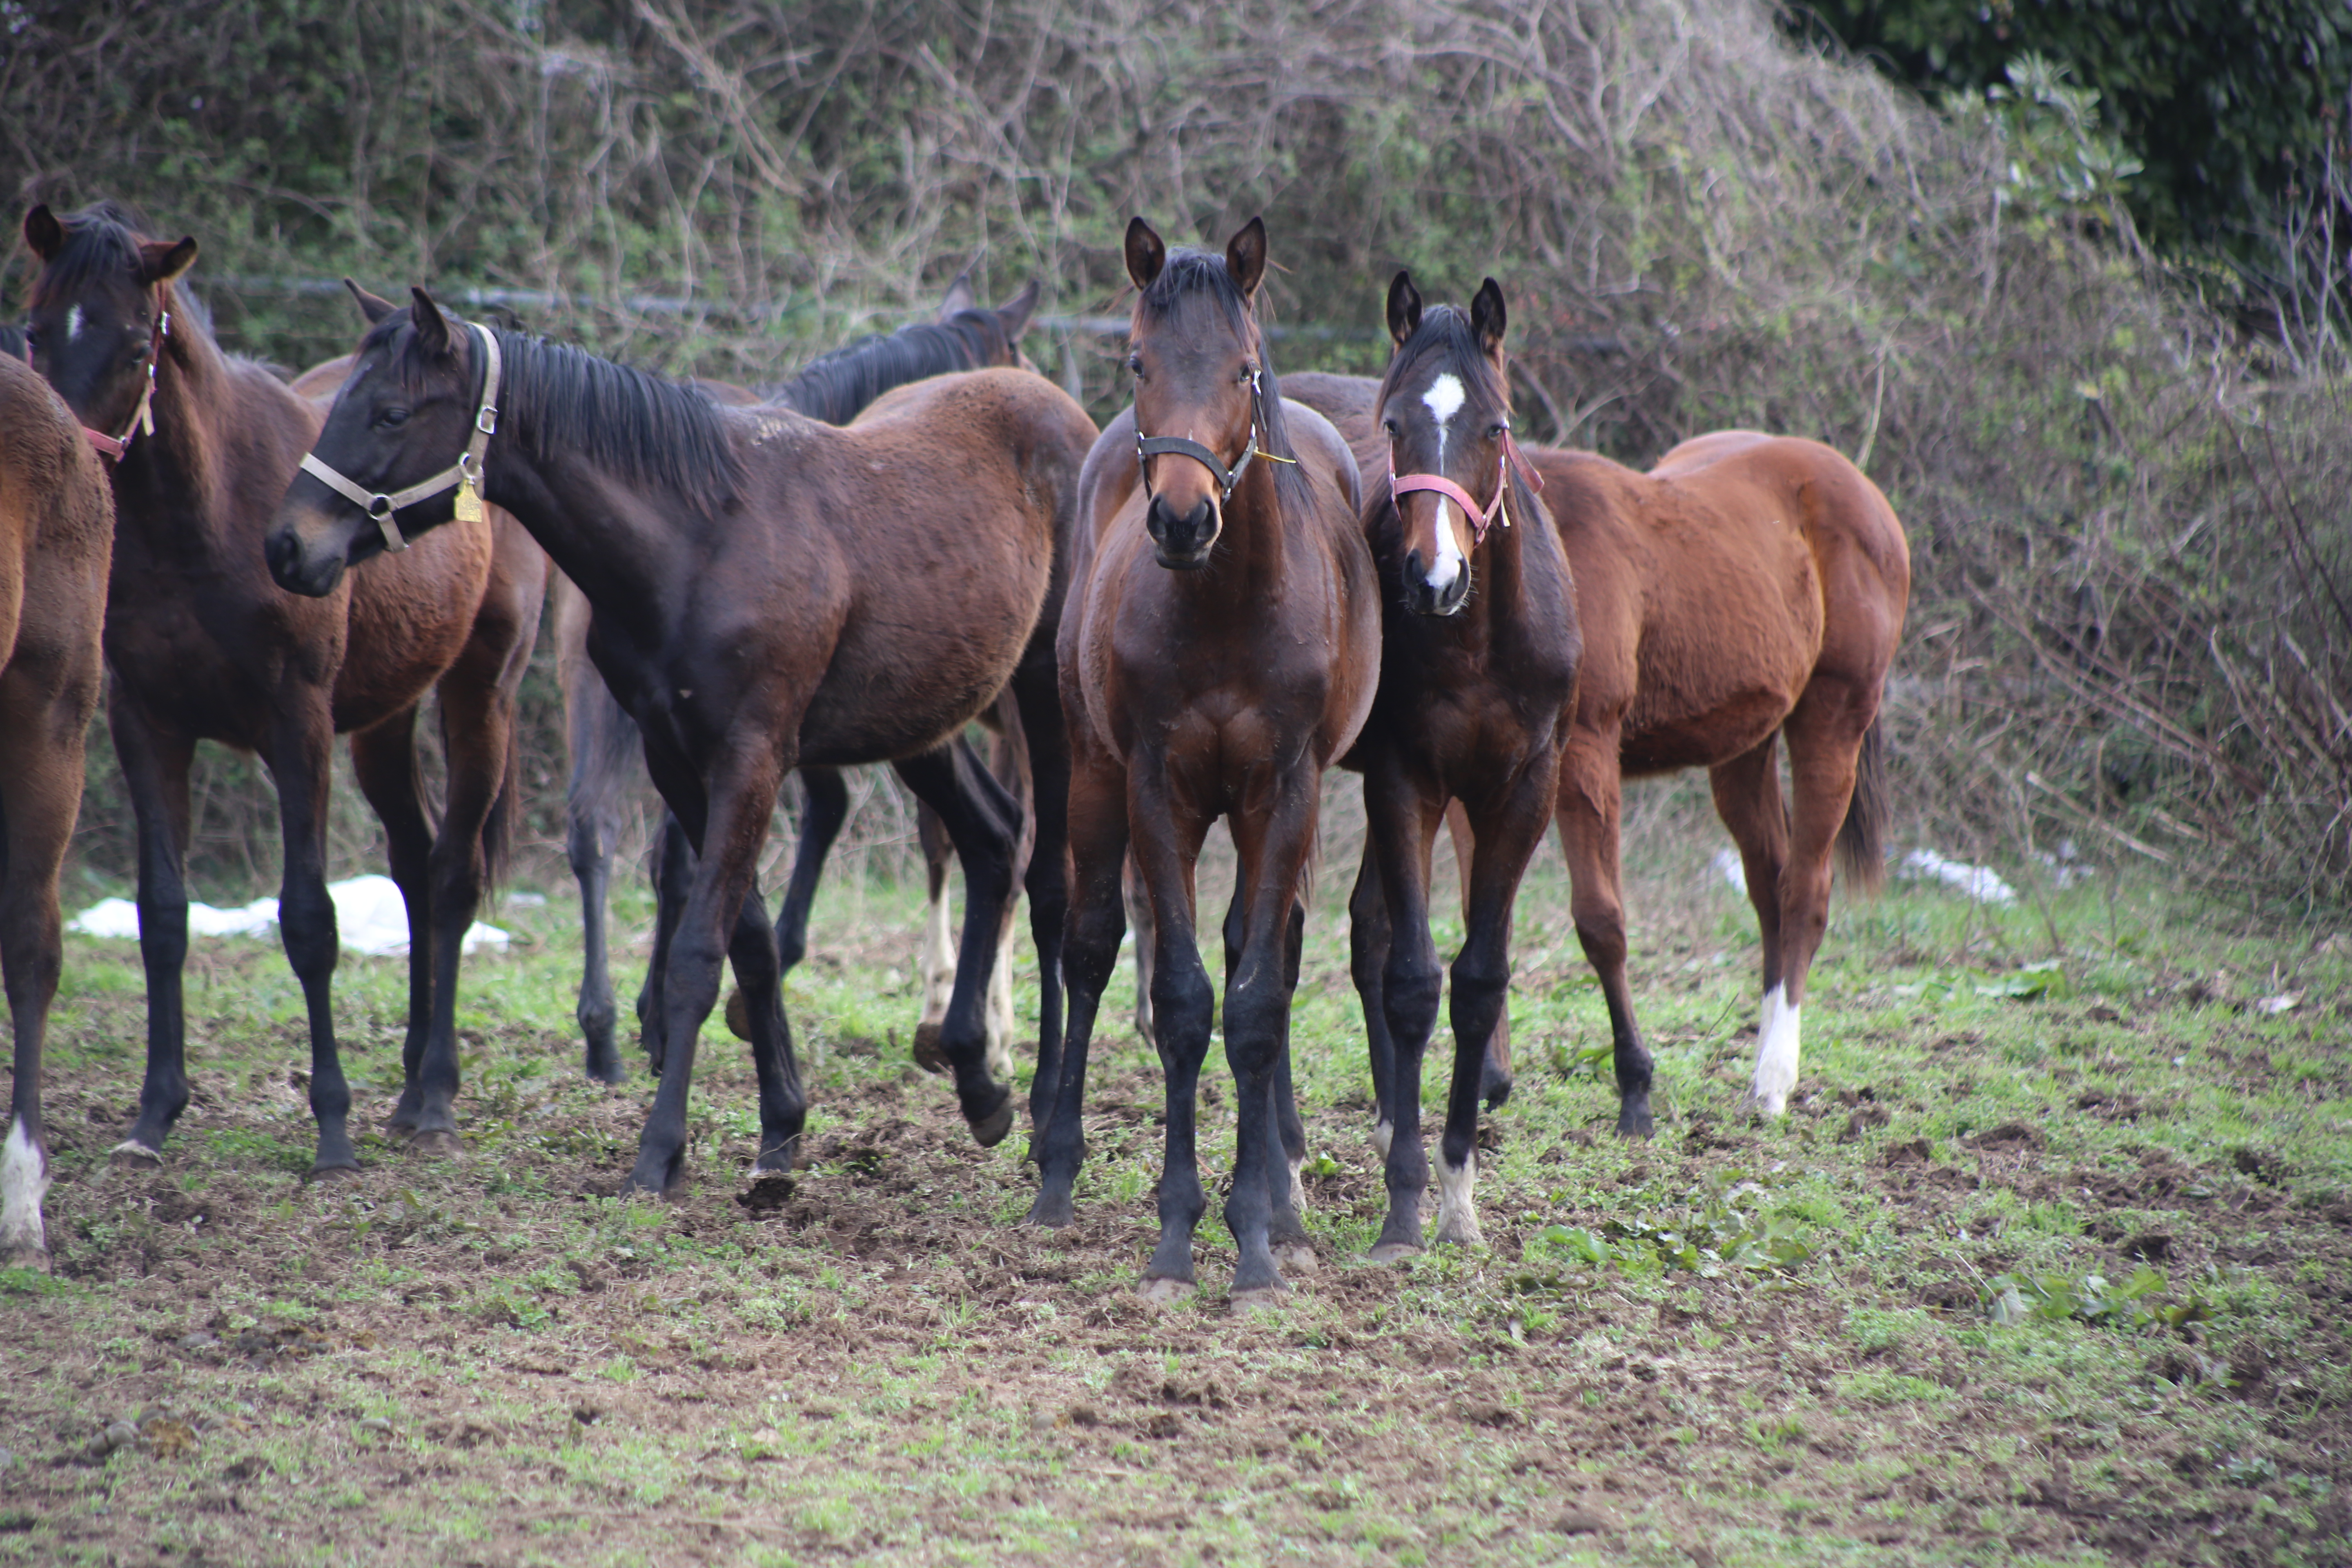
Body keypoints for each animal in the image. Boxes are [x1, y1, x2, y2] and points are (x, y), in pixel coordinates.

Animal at [20, 202, 543, 1171]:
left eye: (133, 345)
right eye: (35, 331)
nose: (66, 467)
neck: (203, 520)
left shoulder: (294, 723)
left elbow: (308, 919)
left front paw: (331, 1126)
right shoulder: (146, 724)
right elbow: (163, 916)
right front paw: (153, 1116)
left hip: (479, 692)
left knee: (452, 875)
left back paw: (437, 1093)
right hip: (384, 720)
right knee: (414, 867)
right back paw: (407, 1087)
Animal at [269, 288, 1100, 1194]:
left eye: (392, 412)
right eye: (342, 403)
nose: (288, 547)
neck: (701, 541)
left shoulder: (751, 758)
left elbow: (699, 956)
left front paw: (659, 1152)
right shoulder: (677, 761)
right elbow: (752, 942)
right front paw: (781, 1128)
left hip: (1041, 706)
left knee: (1049, 885)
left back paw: (1044, 1110)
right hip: (921, 723)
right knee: (991, 839)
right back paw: (979, 1082)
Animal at [1039, 215, 1383, 1307]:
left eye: (1242, 370)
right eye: (1139, 362)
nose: (1183, 520)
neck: (1230, 604)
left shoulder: (1285, 794)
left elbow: (1258, 1001)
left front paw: (1259, 1237)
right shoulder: (1159, 791)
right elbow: (1185, 1002)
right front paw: (1177, 1236)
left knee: (1261, 952)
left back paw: (1285, 1193)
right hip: (1092, 772)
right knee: (1090, 945)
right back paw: (1053, 1172)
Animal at [1326, 276, 1580, 1260]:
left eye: (1496, 427)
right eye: (1395, 424)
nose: (1432, 580)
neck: (1475, 638)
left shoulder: (1523, 790)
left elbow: (1477, 982)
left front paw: (1460, 1196)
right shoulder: (1406, 782)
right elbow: (1413, 980)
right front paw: (1406, 1208)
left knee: (1366, 925)